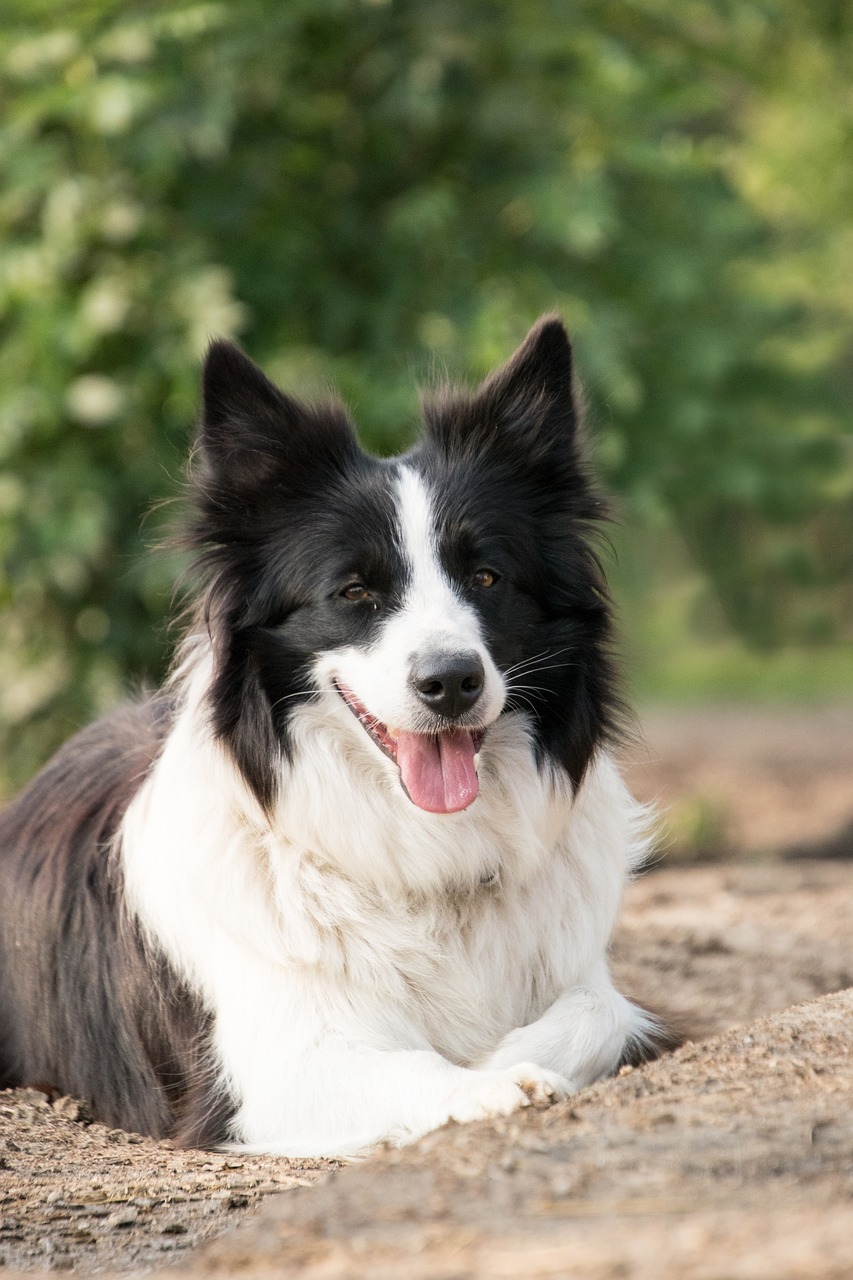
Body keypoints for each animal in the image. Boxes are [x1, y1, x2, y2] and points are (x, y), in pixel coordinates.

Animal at [0, 314, 655, 1157]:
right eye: (352, 591)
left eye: (486, 577)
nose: (451, 681)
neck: (424, 863)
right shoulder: (268, 1070)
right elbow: (412, 1064)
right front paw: (489, 1082)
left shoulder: (598, 993)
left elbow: (599, 1014)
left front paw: (503, 1058)